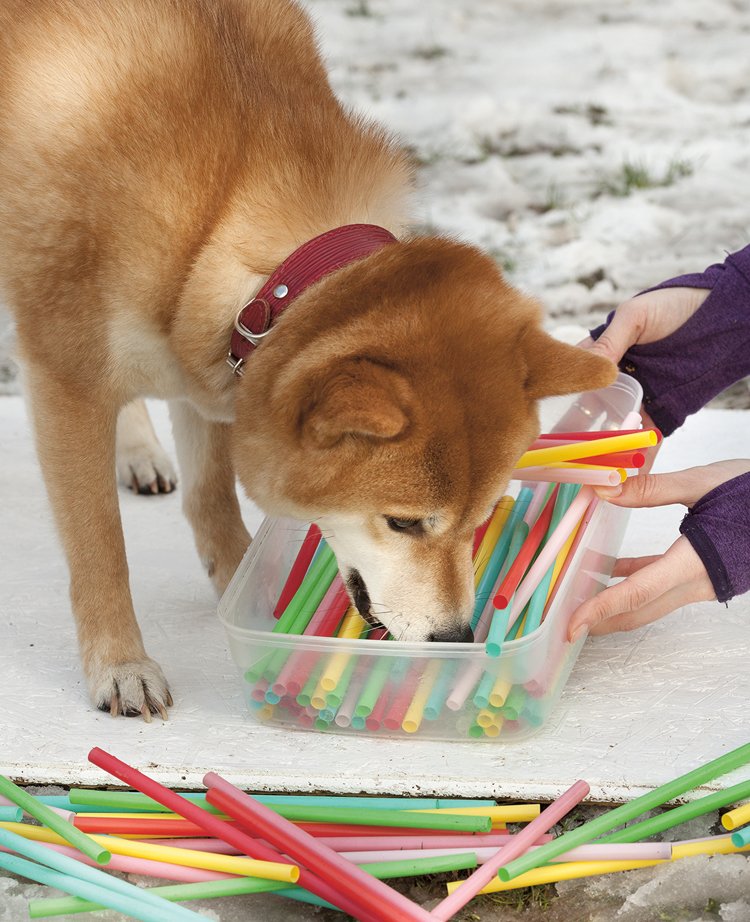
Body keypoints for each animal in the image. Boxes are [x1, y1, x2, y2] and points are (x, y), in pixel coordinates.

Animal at [0, 0, 612, 720]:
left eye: (483, 517)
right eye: (403, 522)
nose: (457, 638)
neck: (226, 198)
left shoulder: (205, 358)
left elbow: (211, 497)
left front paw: (250, 592)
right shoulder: (66, 378)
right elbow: (99, 546)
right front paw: (121, 665)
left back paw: (139, 452)